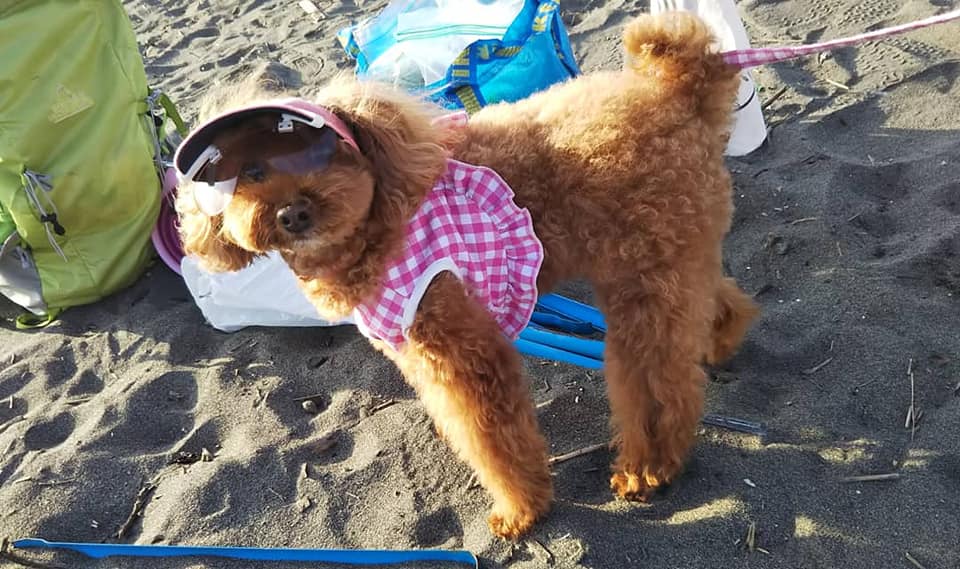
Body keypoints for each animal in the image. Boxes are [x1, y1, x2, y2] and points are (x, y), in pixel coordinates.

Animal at [175, 12, 759, 539]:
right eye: (250, 173)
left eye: (320, 153)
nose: (293, 213)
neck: (378, 221)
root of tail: (678, 91)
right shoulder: (416, 351)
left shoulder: (462, 350)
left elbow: (492, 439)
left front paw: (520, 511)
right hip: (671, 255)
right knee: (714, 304)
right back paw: (718, 342)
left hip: (641, 274)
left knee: (656, 381)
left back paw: (647, 467)